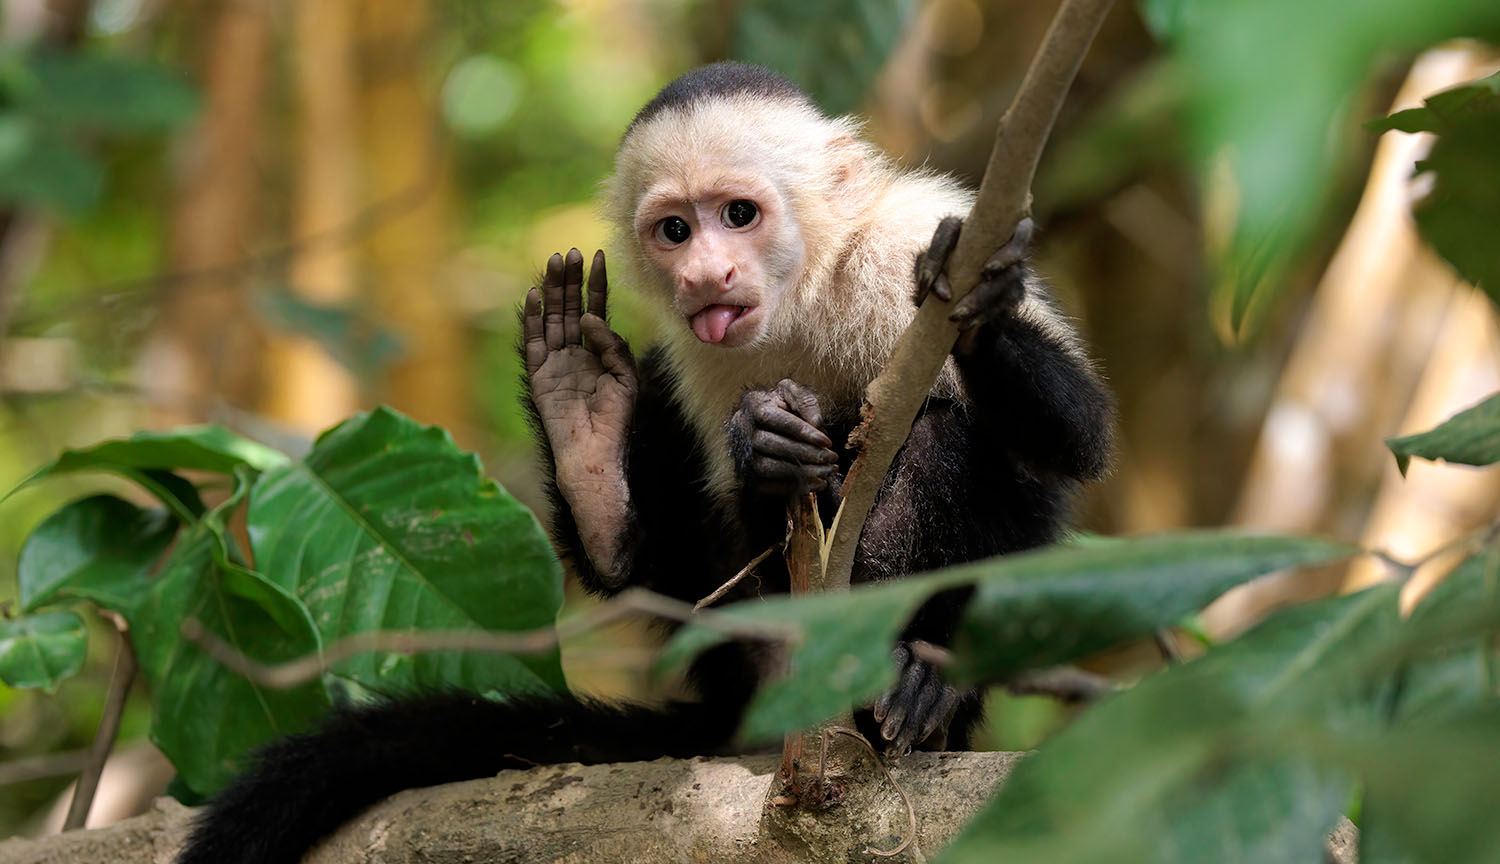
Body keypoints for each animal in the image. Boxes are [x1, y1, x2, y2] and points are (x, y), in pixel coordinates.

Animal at [178, 62, 1116, 864]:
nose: (705, 274)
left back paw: (916, 675)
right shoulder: (705, 357)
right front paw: (758, 444)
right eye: (675, 230)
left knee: (951, 435)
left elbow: (1079, 438)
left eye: (738, 215)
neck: (809, 291)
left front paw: (980, 304)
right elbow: (702, 545)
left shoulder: (904, 239)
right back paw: (587, 439)